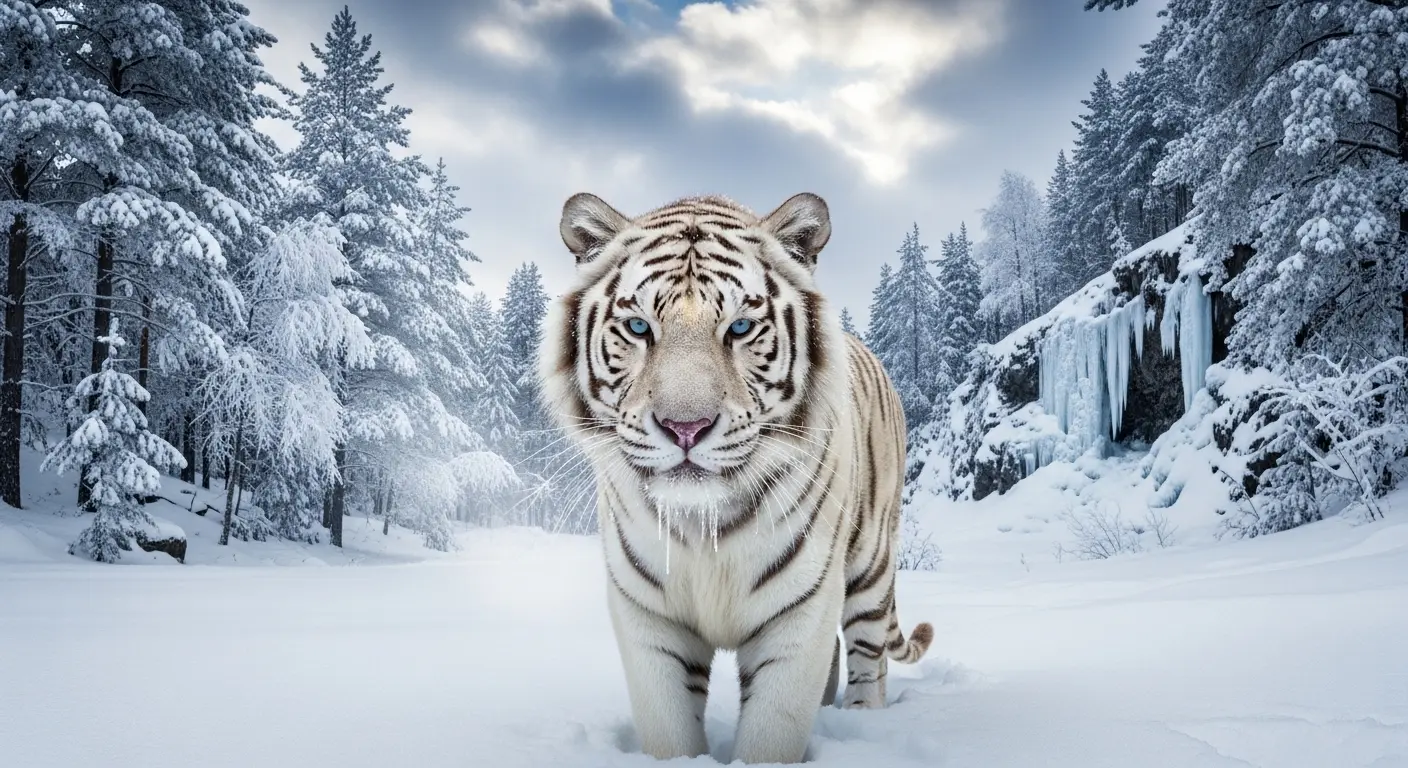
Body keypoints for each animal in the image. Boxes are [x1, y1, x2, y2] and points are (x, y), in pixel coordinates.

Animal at [538, 191, 933, 764]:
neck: (703, 526)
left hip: (871, 560)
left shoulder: (800, 614)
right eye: (639, 328)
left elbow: (772, 733)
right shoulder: (649, 619)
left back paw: (863, 721)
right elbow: (670, 732)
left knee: (868, 649)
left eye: (740, 329)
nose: (686, 427)